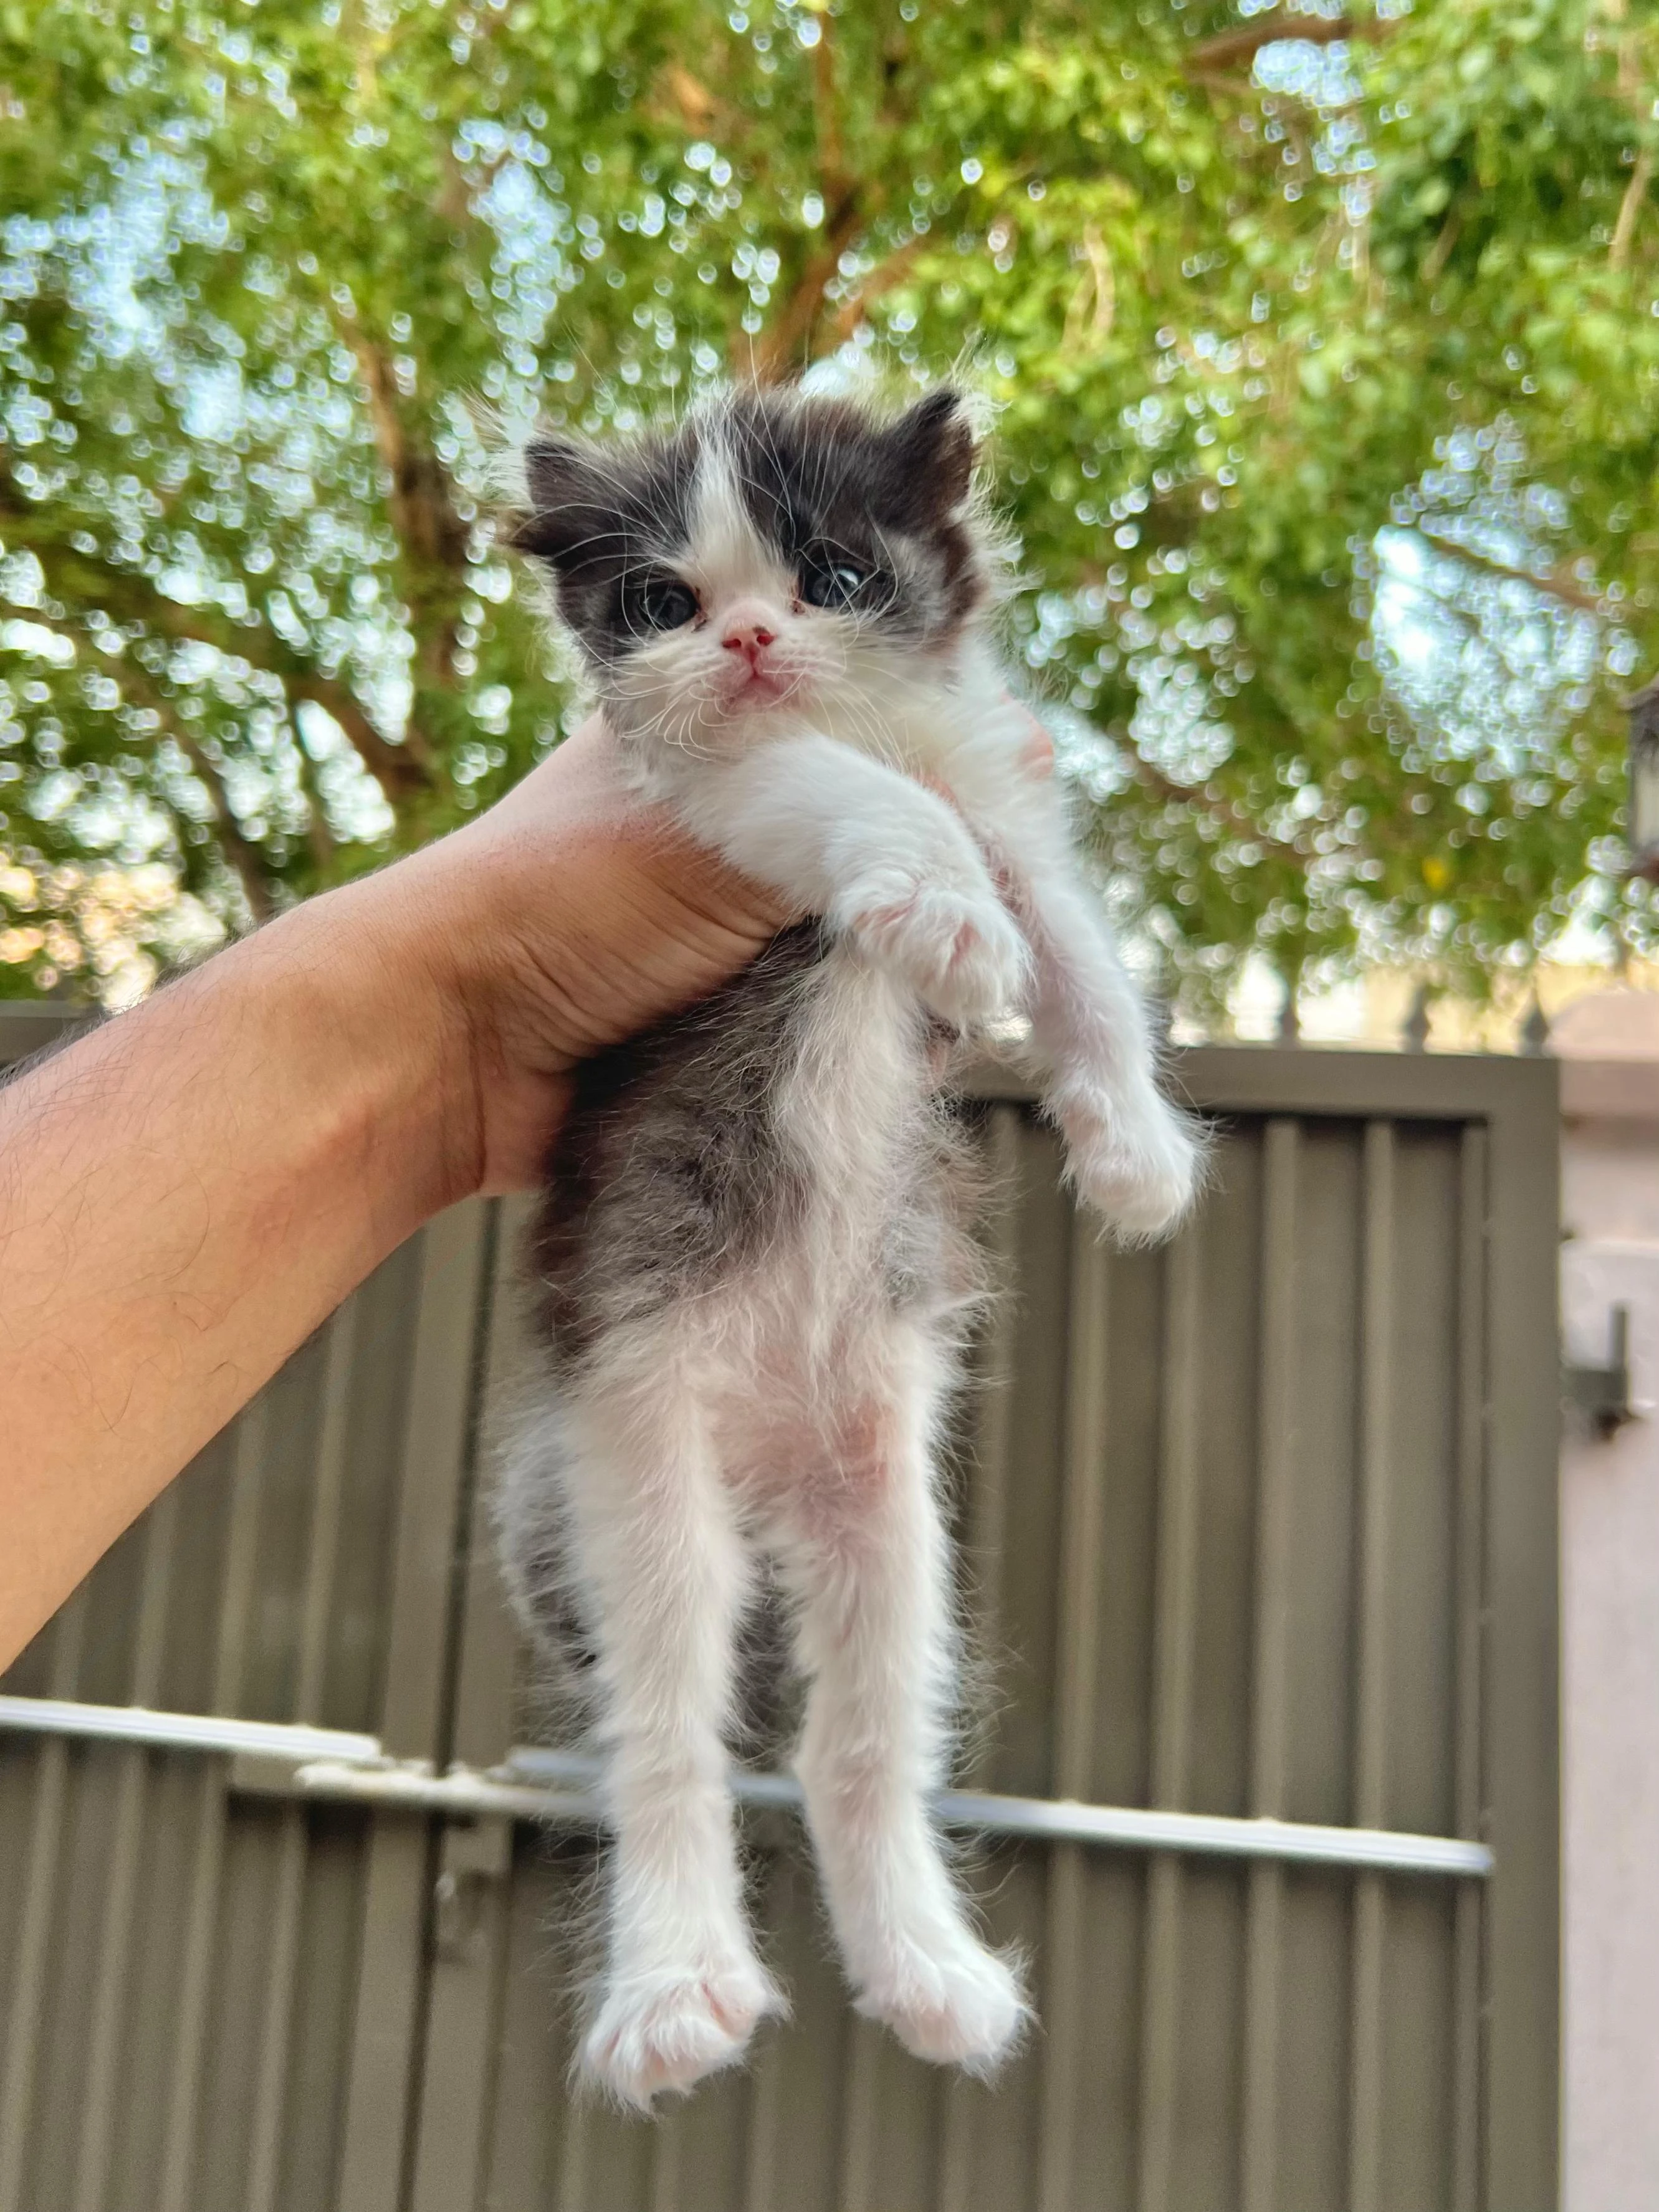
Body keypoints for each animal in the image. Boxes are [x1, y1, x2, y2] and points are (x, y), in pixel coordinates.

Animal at [500, 384, 1203, 2105]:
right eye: (664, 601)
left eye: (830, 577)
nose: (753, 639)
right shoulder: (692, 793)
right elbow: (841, 791)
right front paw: (944, 913)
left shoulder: (999, 783)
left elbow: (1079, 951)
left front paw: (1137, 1153)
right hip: (634, 1454)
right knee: (667, 1729)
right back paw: (674, 1985)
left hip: (888, 1503)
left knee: (857, 1743)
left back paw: (925, 1970)